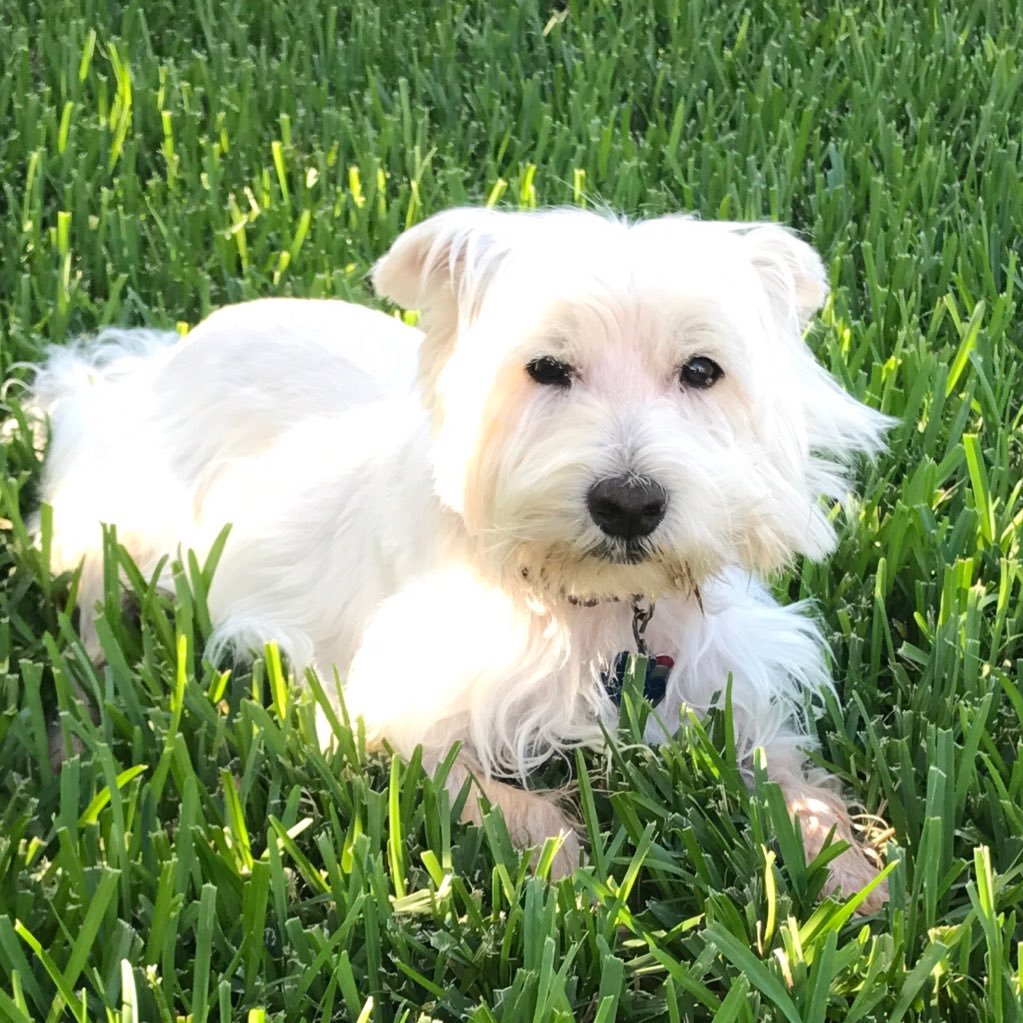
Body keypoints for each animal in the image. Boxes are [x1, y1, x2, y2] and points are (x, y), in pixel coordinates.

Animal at [31, 207, 892, 912]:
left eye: (702, 370)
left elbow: (790, 775)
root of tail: (155, 359)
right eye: (545, 367)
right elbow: (500, 798)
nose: (627, 502)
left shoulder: (730, 683)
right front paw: (572, 879)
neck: (590, 604)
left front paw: (847, 866)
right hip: (124, 511)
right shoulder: (382, 709)